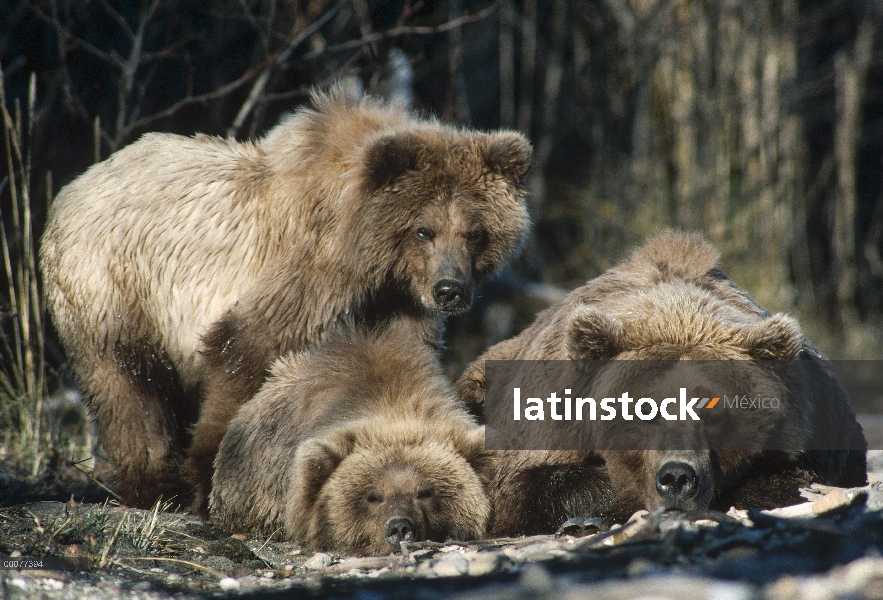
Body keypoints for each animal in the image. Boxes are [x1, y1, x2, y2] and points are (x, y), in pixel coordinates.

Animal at [39, 89, 532, 510]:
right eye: (423, 229)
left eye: (475, 232)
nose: (450, 290)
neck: (368, 254)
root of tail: (75, 185)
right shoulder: (310, 268)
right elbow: (245, 346)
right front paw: (213, 474)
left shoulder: (396, 300)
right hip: (113, 283)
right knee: (127, 381)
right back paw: (155, 485)